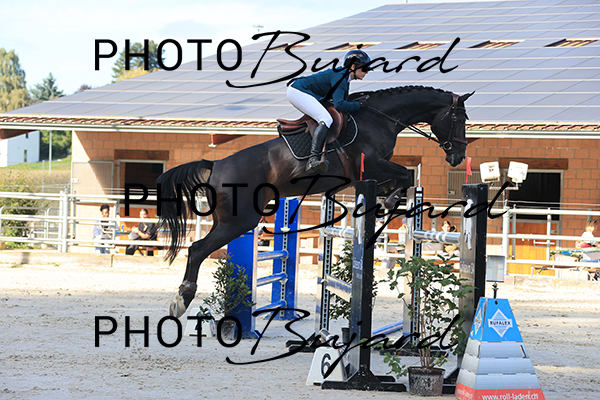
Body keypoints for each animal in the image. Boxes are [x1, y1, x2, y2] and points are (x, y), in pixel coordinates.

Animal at [157, 85, 474, 317]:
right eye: (459, 120)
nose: (458, 156)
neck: (380, 117)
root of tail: (216, 165)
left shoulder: (374, 171)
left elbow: (400, 180)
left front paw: (389, 200)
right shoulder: (372, 164)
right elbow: (404, 176)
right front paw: (391, 200)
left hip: (227, 219)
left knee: (198, 248)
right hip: (240, 221)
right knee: (197, 249)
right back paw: (182, 300)